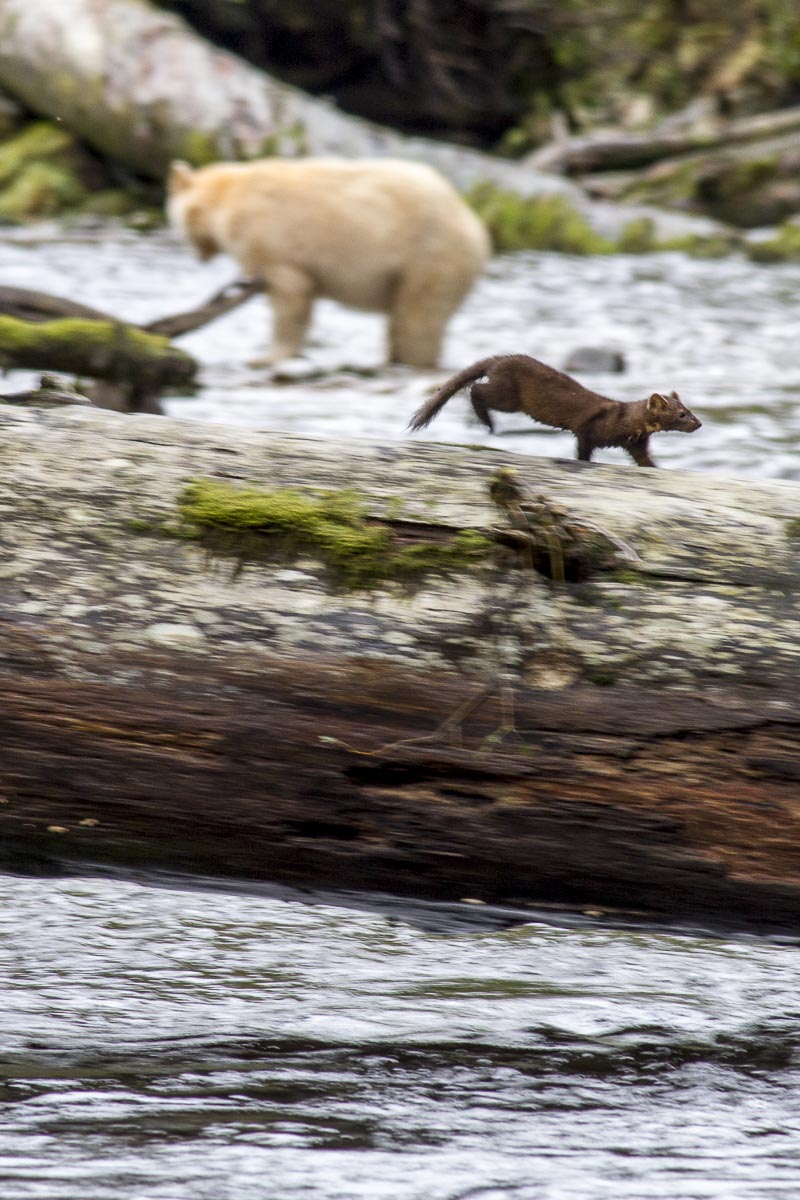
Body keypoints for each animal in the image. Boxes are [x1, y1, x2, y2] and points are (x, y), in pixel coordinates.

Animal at [166, 157, 490, 368]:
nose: (193, 253)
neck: (227, 198)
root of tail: (476, 227)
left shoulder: (268, 238)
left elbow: (289, 293)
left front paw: (267, 356)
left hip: (430, 257)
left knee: (418, 318)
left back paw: (414, 361)